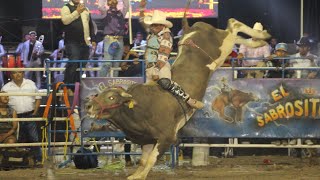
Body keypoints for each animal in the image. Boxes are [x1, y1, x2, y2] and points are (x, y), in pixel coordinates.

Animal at [85, 15, 270, 180]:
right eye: (100, 95)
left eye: (111, 98)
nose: (89, 106)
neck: (139, 108)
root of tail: (193, 28)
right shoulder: (146, 140)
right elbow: (143, 161)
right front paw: (135, 175)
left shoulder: (166, 137)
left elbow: (151, 159)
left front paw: (141, 175)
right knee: (236, 33)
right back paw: (258, 41)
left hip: (223, 46)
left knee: (233, 25)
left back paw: (261, 34)